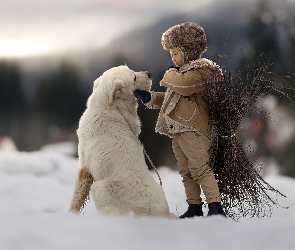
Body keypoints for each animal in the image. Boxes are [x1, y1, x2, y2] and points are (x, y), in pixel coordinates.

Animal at [69, 65, 175, 218]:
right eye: (134, 77)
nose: (149, 73)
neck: (106, 107)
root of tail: (163, 214)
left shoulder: (85, 167)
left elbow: (77, 198)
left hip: (99, 188)